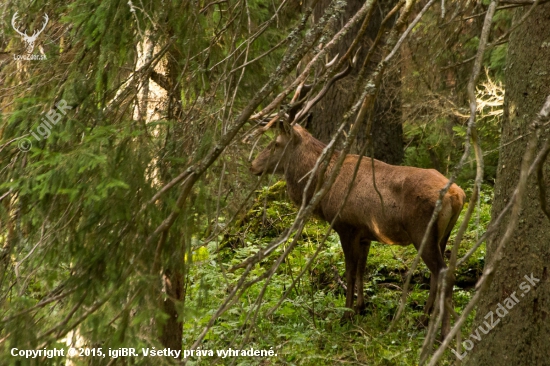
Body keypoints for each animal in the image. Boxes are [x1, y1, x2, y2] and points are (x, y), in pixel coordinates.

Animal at [248, 59, 468, 338]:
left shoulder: (346, 225)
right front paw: (361, 307)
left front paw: (346, 314)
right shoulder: (365, 233)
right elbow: (363, 268)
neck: (321, 186)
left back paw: (441, 330)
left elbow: (350, 270)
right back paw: (423, 321)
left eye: (275, 143)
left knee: (442, 274)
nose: (253, 165)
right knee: (438, 274)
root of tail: (457, 194)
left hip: (423, 231)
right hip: (443, 234)